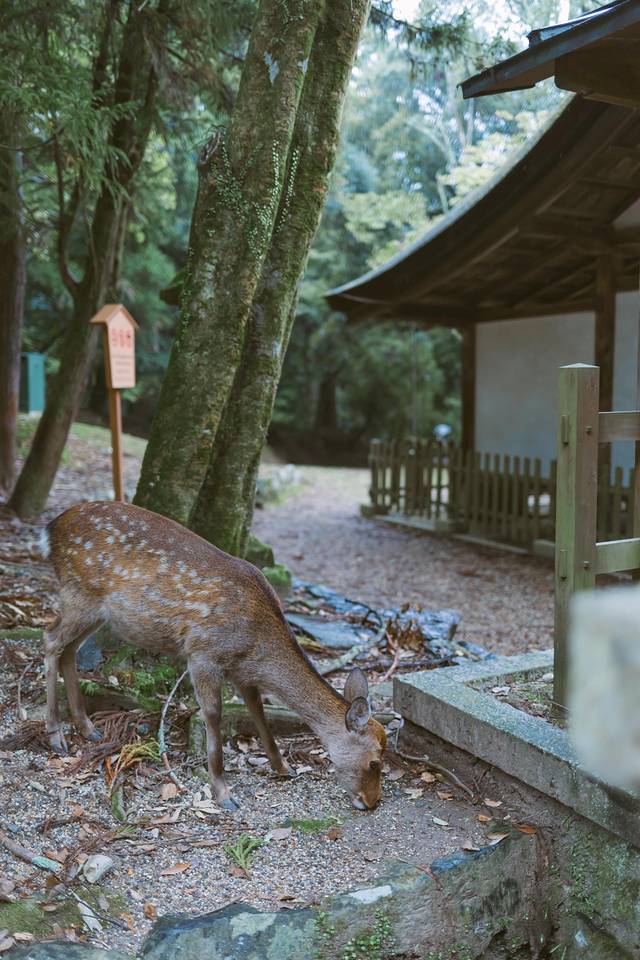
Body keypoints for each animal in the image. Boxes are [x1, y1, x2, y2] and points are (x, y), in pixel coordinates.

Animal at [41, 501, 386, 811]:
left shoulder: (243, 670)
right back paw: (56, 734)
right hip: (79, 593)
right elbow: (213, 714)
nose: (371, 803)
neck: (258, 643)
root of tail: (51, 529)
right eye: (375, 762)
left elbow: (258, 712)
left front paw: (283, 767)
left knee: (68, 649)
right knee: (50, 639)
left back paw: (87, 727)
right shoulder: (203, 652)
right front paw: (223, 793)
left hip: (96, 610)